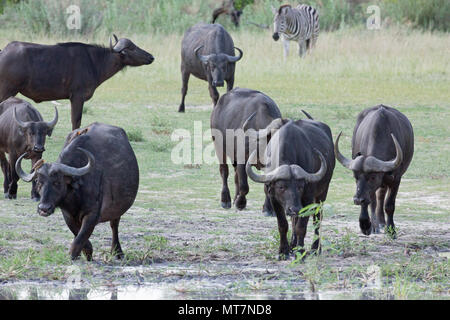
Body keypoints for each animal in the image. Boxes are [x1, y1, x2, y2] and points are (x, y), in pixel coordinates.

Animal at [0, 35, 154, 130]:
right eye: (132, 48)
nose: (151, 57)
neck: (95, 62)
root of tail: (3, 52)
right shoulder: (77, 97)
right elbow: (76, 120)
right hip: (6, 91)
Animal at [16, 122, 139, 260]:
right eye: (39, 182)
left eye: (57, 182)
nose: (44, 208)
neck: (76, 195)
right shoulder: (68, 215)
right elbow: (78, 234)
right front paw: (86, 252)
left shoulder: (92, 214)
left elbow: (81, 236)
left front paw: (75, 254)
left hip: (117, 209)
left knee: (114, 225)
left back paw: (118, 252)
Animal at [244, 115, 336, 260]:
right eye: (281, 187)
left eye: (300, 187)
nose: (295, 208)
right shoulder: (273, 198)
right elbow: (283, 225)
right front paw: (283, 251)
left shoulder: (307, 199)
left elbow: (301, 227)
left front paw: (301, 252)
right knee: (294, 220)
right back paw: (293, 246)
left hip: (322, 194)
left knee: (317, 219)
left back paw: (315, 248)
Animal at [334, 105, 414, 238]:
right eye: (355, 177)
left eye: (372, 177)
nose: (357, 200)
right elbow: (370, 202)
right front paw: (366, 225)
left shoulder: (395, 179)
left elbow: (389, 205)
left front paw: (391, 230)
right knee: (377, 198)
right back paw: (378, 224)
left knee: (381, 195)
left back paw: (382, 223)